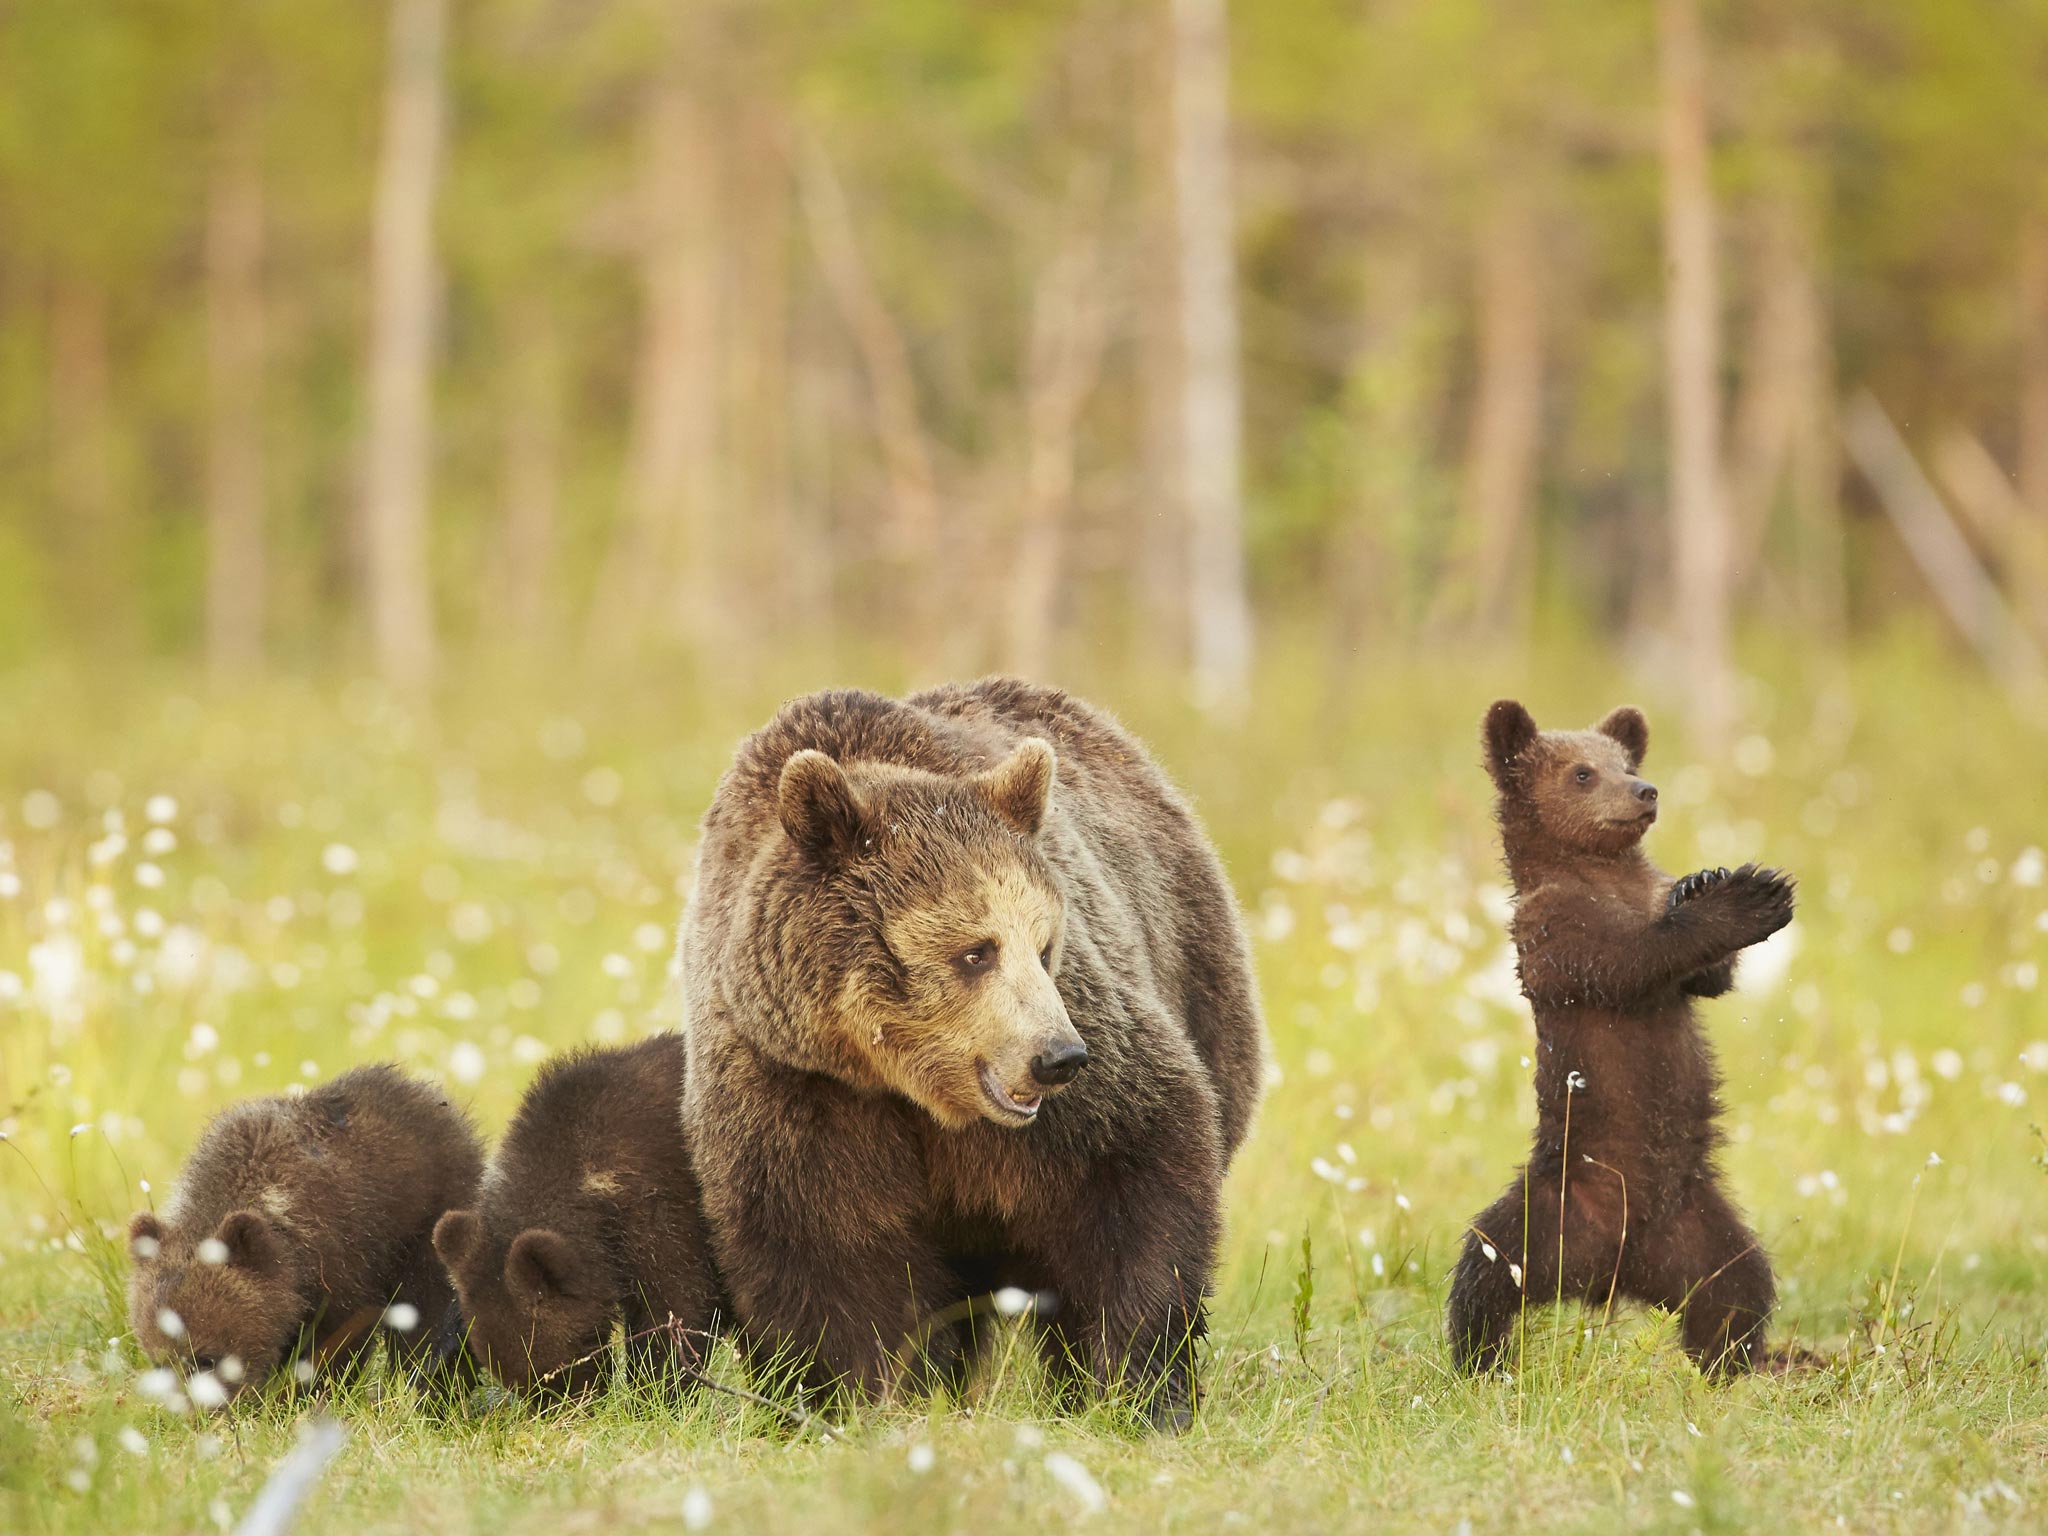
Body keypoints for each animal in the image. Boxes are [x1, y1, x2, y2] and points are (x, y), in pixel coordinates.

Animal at [684, 684, 1261, 1433]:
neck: (910, 1085)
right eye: (975, 951)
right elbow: (825, 1250)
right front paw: (856, 1398)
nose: (1058, 1057)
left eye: (1044, 945)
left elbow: (1132, 1180)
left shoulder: (1083, 1077)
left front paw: (1131, 1390)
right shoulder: (795, 1084)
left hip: (1200, 981)